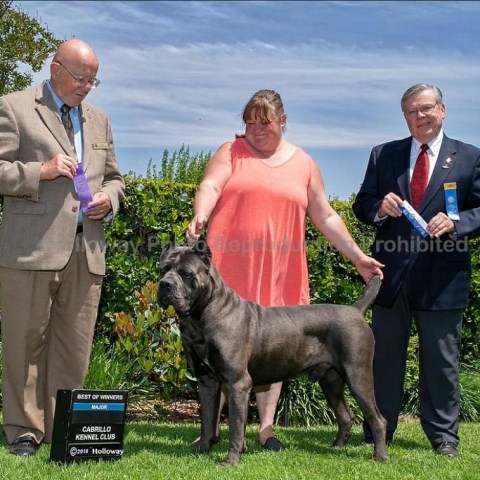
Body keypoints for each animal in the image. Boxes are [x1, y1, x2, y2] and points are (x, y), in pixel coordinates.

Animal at [158, 237, 386, 464]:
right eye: (164, 269)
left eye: (186, 273)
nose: (164, 284)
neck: (200, 316)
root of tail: (355, 310)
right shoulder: (206, 381)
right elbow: (207, 420)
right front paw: (202, 450)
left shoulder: (237, 382)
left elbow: (235, 427)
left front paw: (231, 460)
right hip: (331, 380)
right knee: (346, 416)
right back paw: (337, 447)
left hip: (357, 375)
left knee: (377, 419)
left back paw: (380, 456)